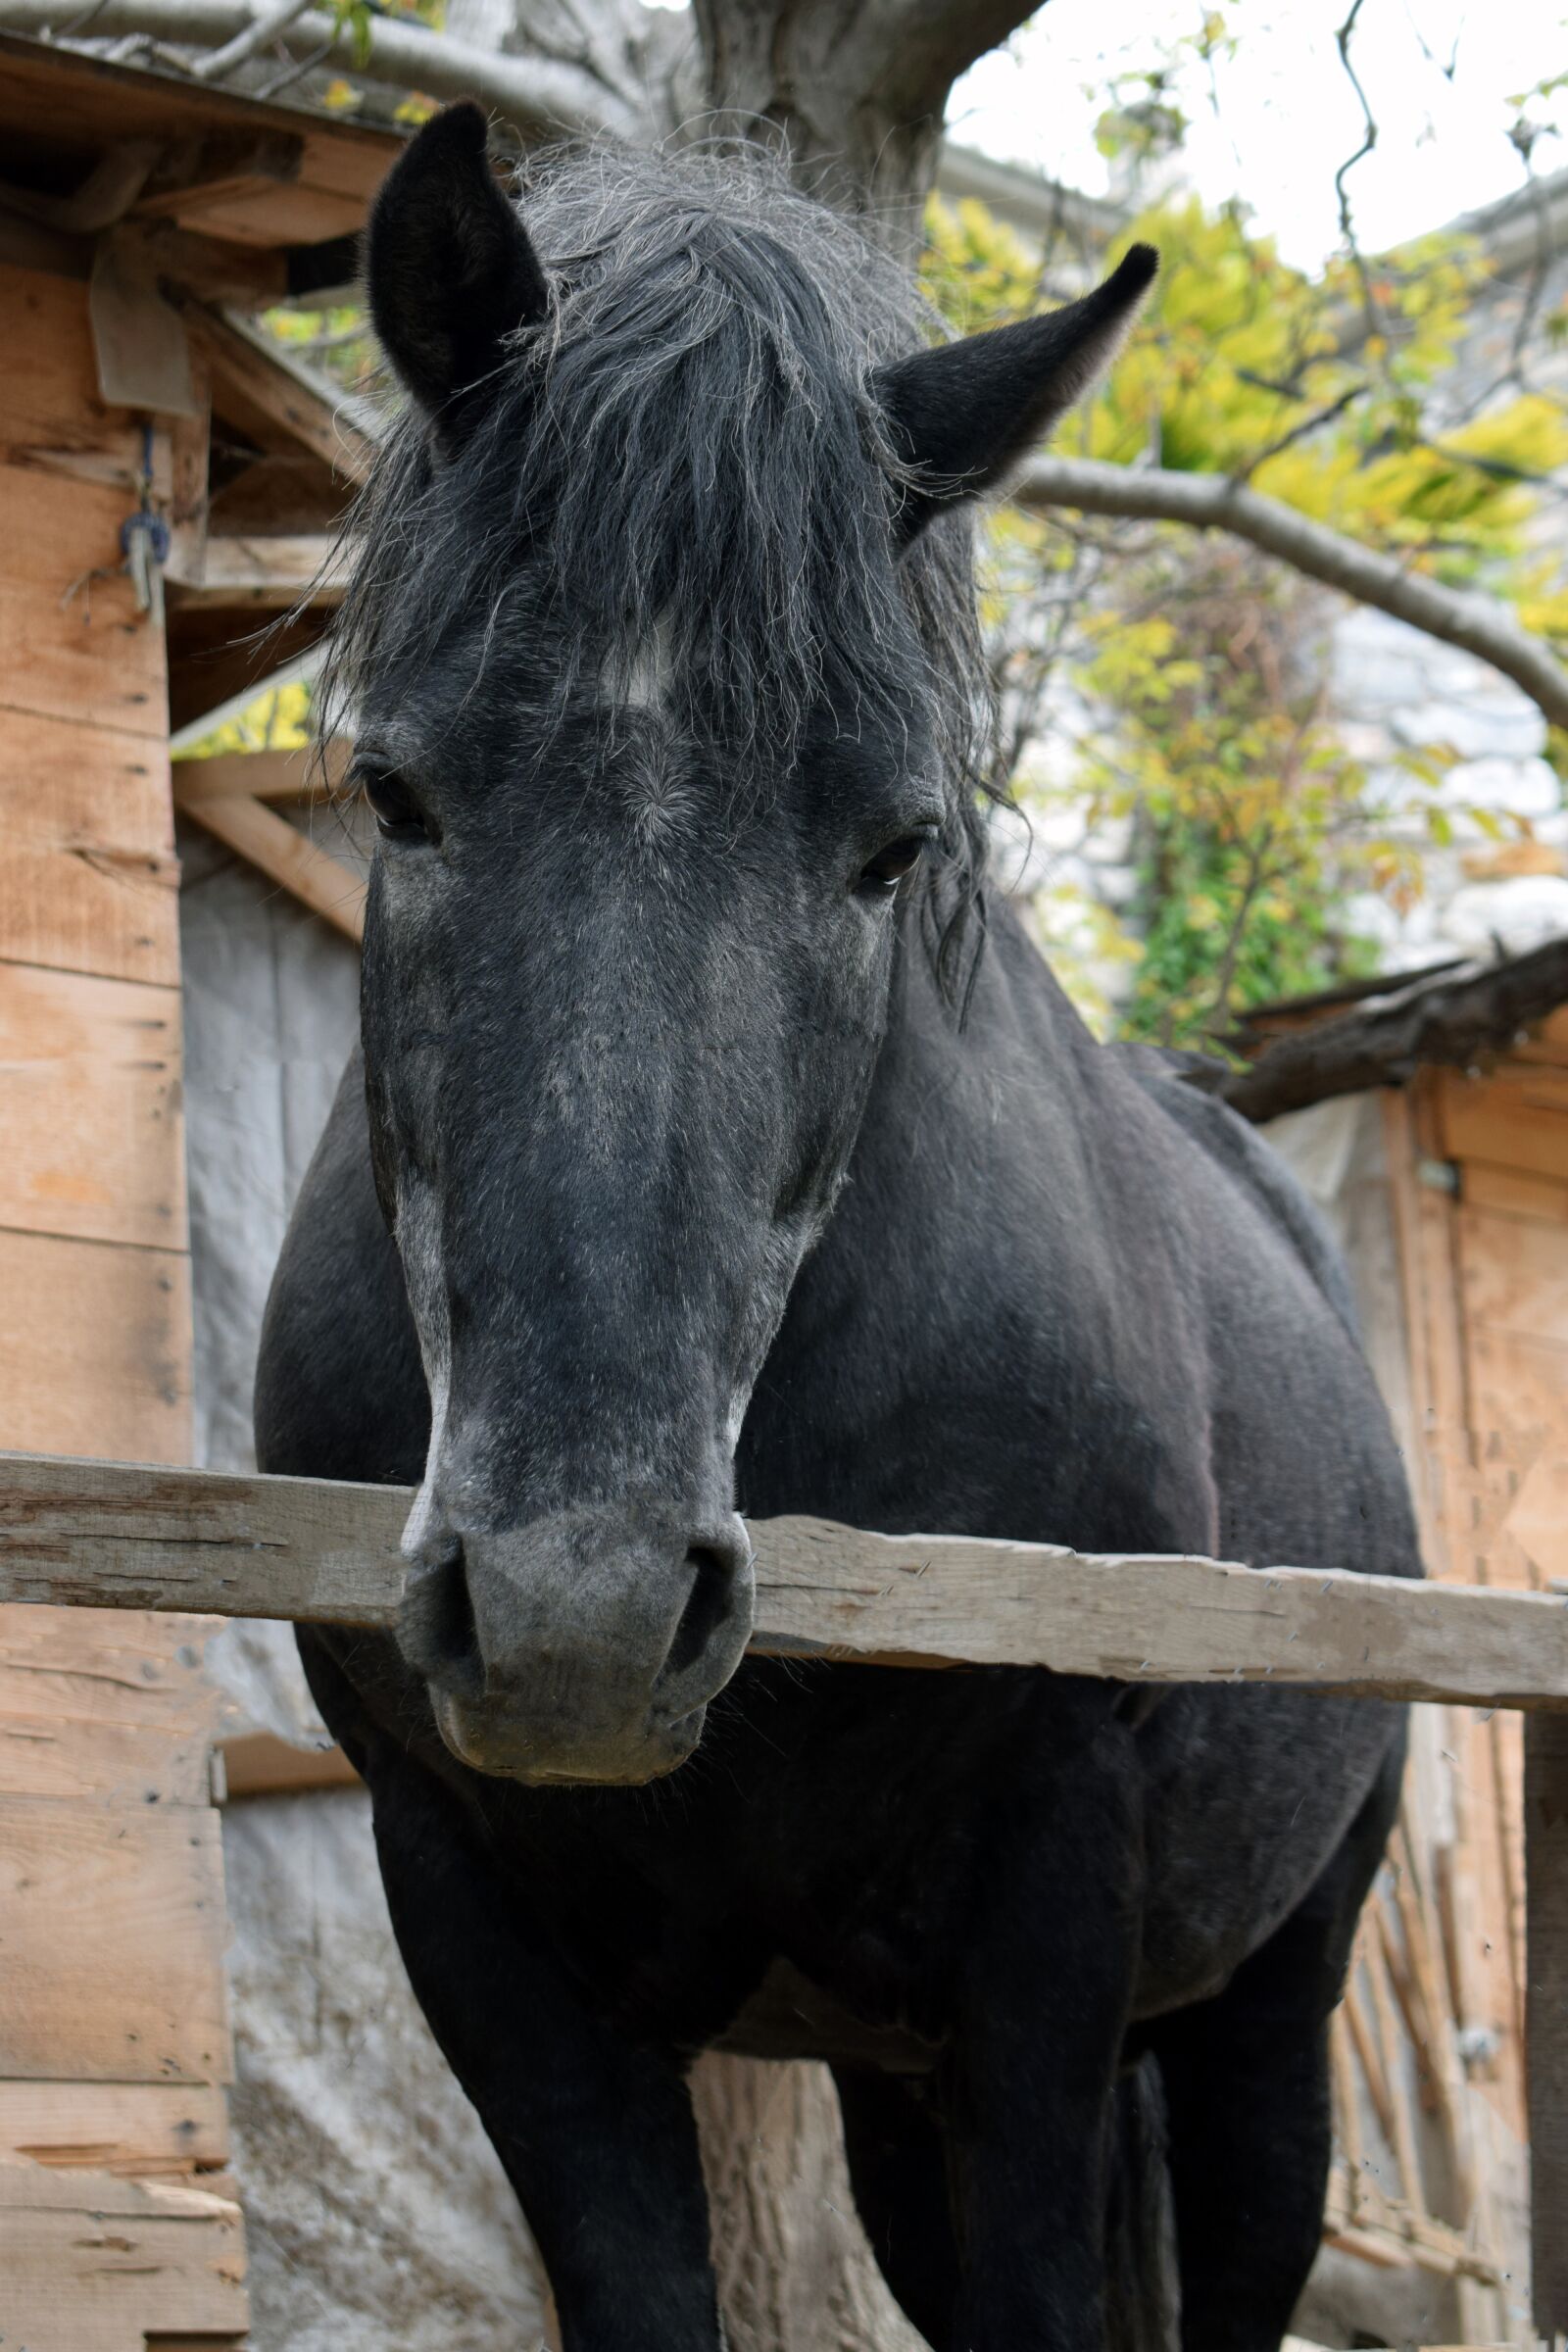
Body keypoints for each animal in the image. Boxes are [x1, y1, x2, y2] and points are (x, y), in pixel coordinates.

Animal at [255, 101, 1418, 2352]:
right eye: (396, 793)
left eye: (891, 847)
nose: (582, 1616)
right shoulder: (485, 1944)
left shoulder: (1043, 1953)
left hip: (1270, 2023)